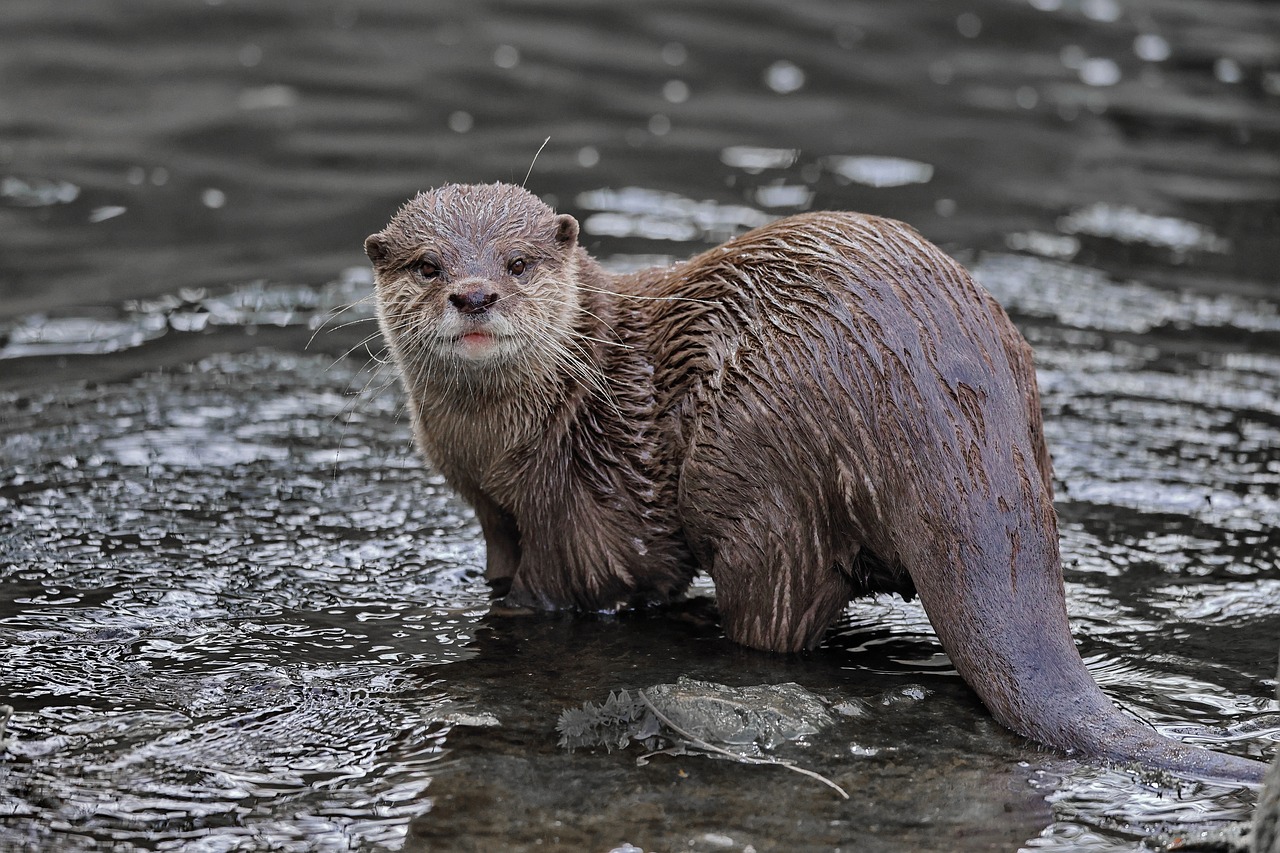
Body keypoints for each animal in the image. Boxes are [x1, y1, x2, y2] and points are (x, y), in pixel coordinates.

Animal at [363, 183, 1269, 778]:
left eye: (517, 263)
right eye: (427, 263)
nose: (474, 294)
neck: (512, 439)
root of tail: (947, 418)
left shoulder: (589, 499)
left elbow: (592, 580)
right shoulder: (492, 507)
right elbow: (500, 559)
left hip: (760, 476)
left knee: (777, 611)